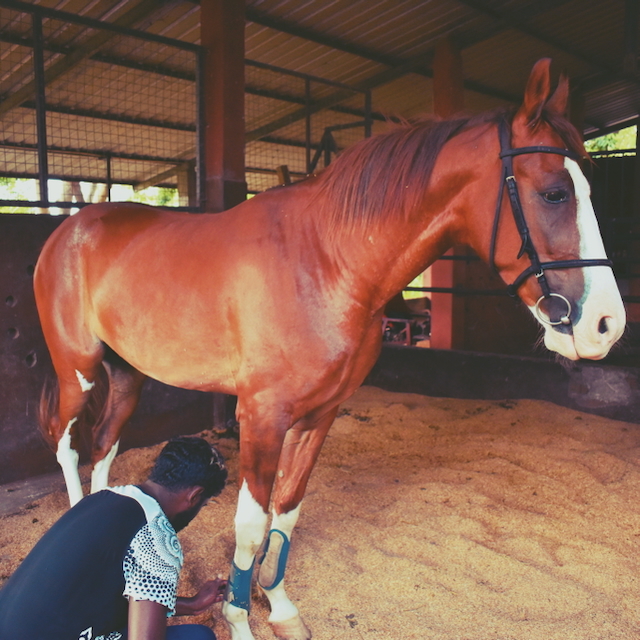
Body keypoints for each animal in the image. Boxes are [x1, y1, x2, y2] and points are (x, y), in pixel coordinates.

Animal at [34, 59, 625, 640]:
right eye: (554, 192)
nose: (607, 325)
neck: (324, 261)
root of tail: (70, 231)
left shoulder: (319, 414)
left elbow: (286, 515)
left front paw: (280, 609)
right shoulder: (262, 417)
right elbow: (250, 528)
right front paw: (239, 620)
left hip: (127, 375)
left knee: (105, 446)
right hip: (77, 371)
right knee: (68, 445)